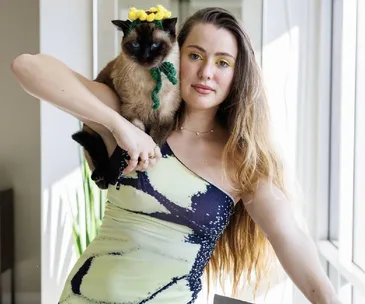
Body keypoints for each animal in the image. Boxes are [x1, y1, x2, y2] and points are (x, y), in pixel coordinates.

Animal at [72, 17, 180, 188]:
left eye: (155, 45)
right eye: (135, 44)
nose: (145, 56)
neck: (148, 83)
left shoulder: (165, 117)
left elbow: (154, 140)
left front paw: (144, 163)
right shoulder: (131, 113)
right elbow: (140, 135)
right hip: (93, 130)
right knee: (98, 152)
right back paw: (101, 176)